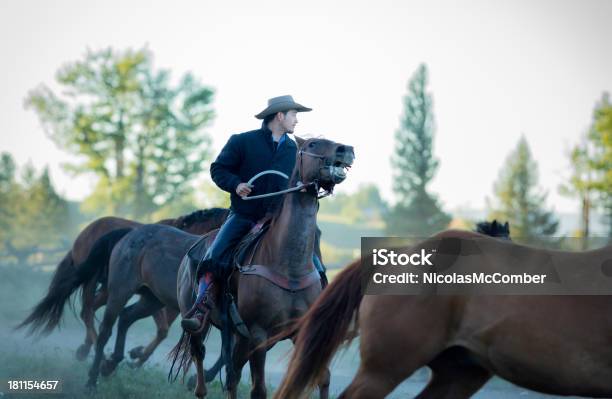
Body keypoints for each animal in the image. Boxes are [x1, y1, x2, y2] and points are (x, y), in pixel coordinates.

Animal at [19, 209, 230, 366]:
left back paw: (87, 351)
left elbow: (164, 330)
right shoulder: (157, 298)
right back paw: (100, 355)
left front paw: (137, 355)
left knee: (90, 310)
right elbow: (162, 328)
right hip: (96, 283)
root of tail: (85, 233)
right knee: (88, 311)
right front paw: (135, 356)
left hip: (107, 289)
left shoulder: (169, 302)